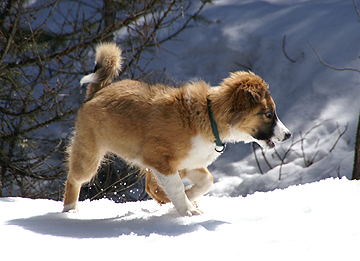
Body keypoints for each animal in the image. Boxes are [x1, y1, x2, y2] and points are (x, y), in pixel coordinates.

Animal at [63, 42, 292, 215]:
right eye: (269, 114)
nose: (289, 135)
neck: (207, 116)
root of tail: (97, 92)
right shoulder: (160, 161)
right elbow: (176, 187)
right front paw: (188, 210)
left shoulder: (189, 162)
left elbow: (206, 181)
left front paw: (188, 198)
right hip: (89, 155)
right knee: (74, 179)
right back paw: (70, 210)